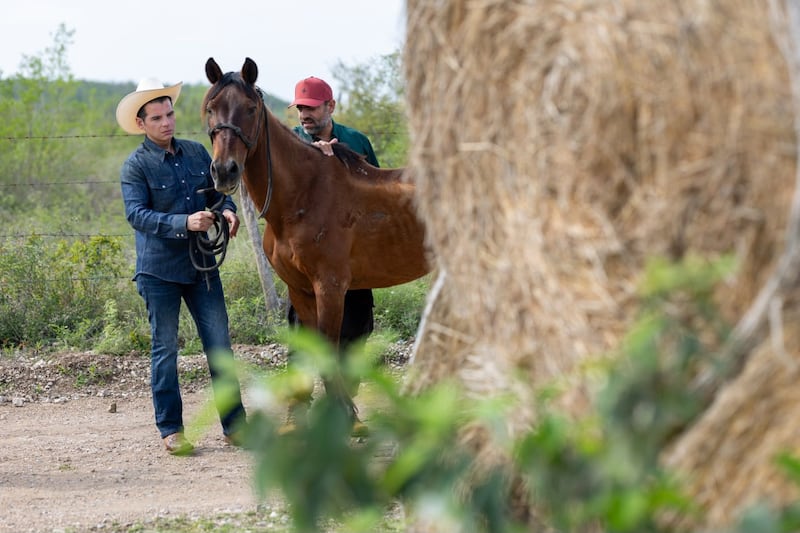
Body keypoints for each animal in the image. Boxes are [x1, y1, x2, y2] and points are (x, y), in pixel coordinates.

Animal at [202, 57, 430, 418]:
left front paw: (347, 417)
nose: (224, 171)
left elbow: (329, 351)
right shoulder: (300, 289)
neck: (303, 196)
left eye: (250, 109)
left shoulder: (330, 287)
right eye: (211, 108)